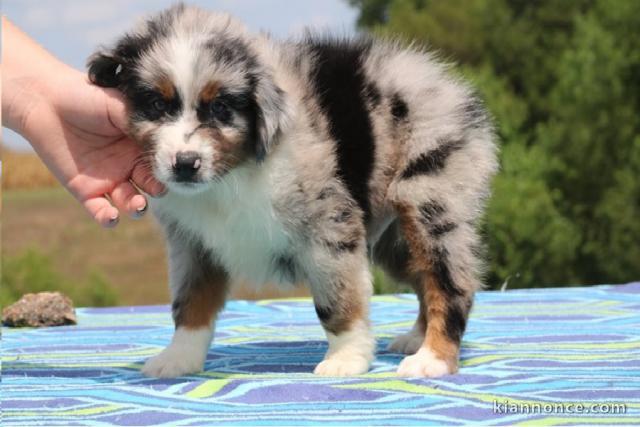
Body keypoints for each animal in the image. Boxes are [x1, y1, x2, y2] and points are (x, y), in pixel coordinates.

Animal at [87, 2, 498, 378]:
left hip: (431, 201)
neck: (235, 172)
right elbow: (190, 301)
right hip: (394, 238)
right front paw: (179, 357)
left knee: (449, 281)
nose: (186, 163)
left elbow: (337, 300)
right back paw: (416, 338)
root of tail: (455, 90)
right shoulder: (191, 243)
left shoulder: (328, 229)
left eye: (220, 108)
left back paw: (433, 358)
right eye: (157, 104)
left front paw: (346, 359)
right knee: (422, 277)